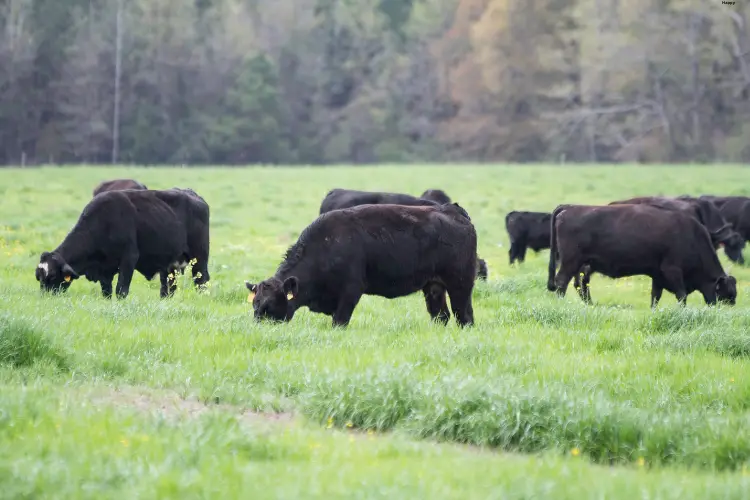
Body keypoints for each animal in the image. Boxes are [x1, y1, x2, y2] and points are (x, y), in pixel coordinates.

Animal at [37, 188, 210, 296]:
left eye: (52, 276)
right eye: (39, 277)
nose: (46, 297)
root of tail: (192, 194)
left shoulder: (129, 258)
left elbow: (121, 290)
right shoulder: (104, 269)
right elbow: (106, 292)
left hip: (199, 259)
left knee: (201, 281)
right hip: (169, 267)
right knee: (167, 289)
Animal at [250, 203, 478, 328]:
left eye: (269, 305)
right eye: (255, 304)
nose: (258, 328)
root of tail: (452, 210)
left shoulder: (350, 292)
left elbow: (340, 322)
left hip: (460, 284)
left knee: (464, 316)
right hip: (433, 286)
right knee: (441, 316)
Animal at [548, 204, 736, 306]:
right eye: (725, 295)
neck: (690, 236)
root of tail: (570, 207)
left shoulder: (658, 275)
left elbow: (655, 297)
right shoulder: (672, 271)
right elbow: (681, 295)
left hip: (581, 264)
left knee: (579, 285)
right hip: (571, 262)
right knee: (562, 282)